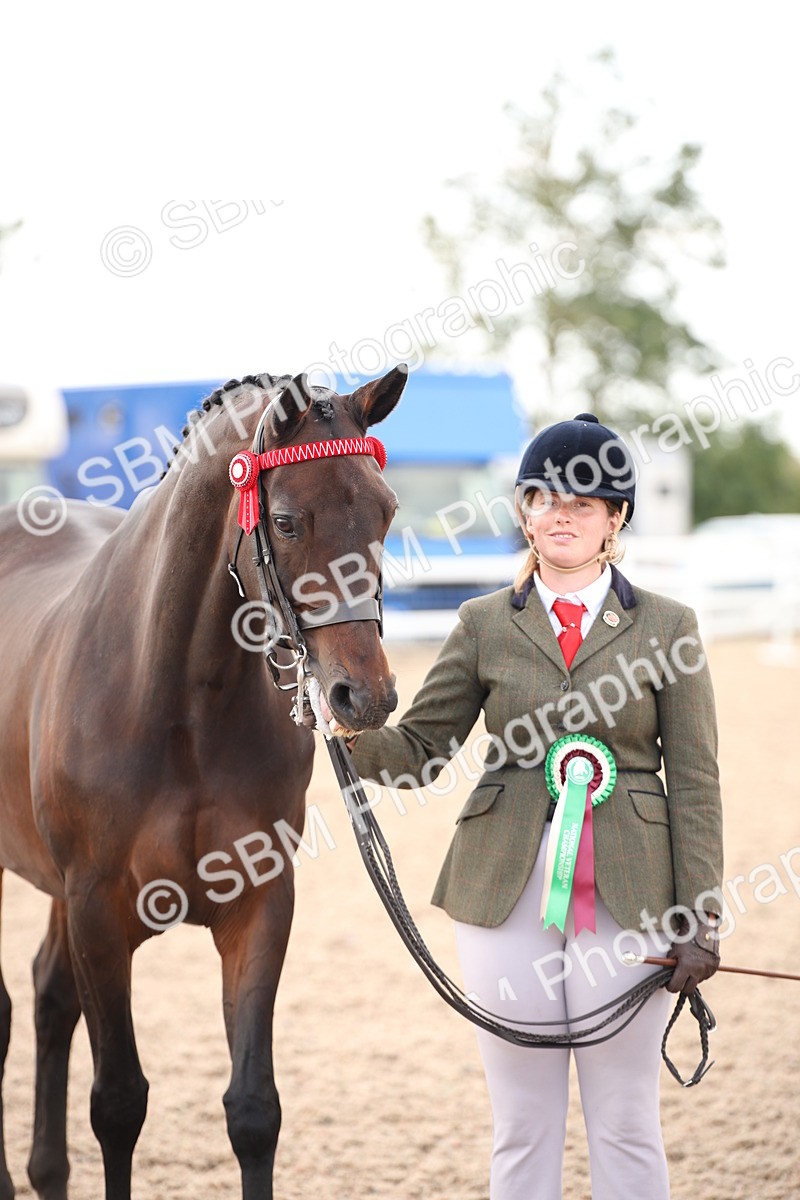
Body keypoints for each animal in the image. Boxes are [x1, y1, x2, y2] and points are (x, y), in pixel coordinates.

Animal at [0, 364, 407, 1200]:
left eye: (385, 510)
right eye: (285, 521)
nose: (366, 696)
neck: (178, 697)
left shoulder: (259, 904)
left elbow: (253, 1109)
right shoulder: (97, 910)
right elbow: (118, 1104)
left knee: (49, 997)